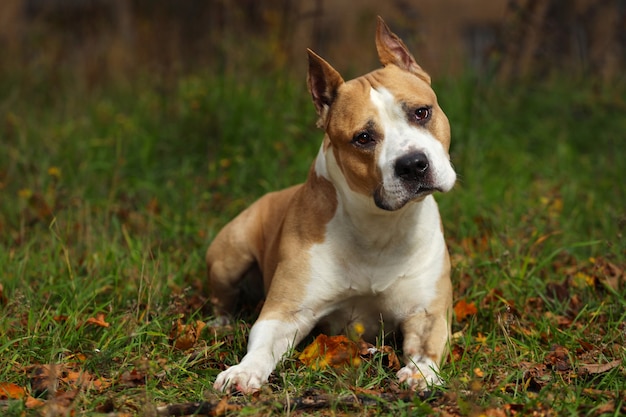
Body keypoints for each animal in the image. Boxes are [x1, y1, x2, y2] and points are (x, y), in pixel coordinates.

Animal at [207, 17, 456, 394]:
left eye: (421, 112)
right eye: (363, 138)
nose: (413, 164)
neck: (379, 225)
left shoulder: (426, 311)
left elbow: (426, 345)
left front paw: (420, 374)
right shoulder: (286, 311)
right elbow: (262, 345)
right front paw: (243, 371)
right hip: (229, 253)